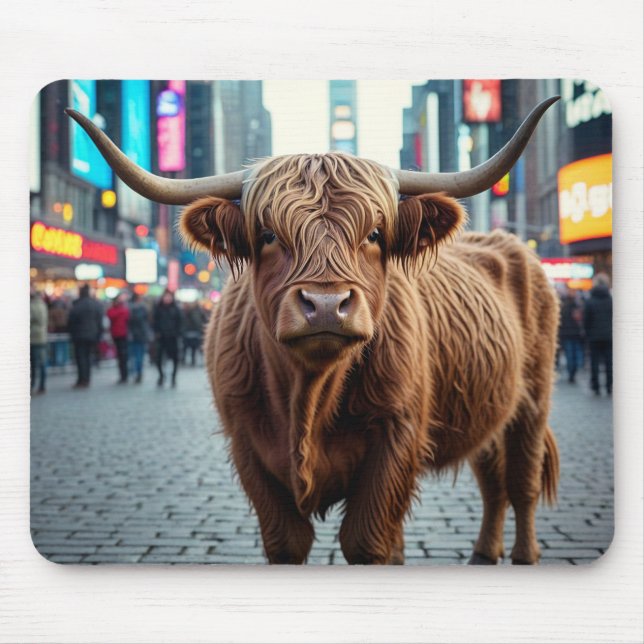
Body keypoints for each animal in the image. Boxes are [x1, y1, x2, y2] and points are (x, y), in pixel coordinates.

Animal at [66, 96, 560, 565]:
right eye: (267, 235)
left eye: (375, 234)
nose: (325, 305)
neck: (308, 397)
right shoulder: (247, 445)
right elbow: (287, 541)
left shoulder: (397, 437)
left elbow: (366, 540)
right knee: (492, 478)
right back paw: (483, 551)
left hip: (533, 401)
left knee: (522, 481)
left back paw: (524, 554)